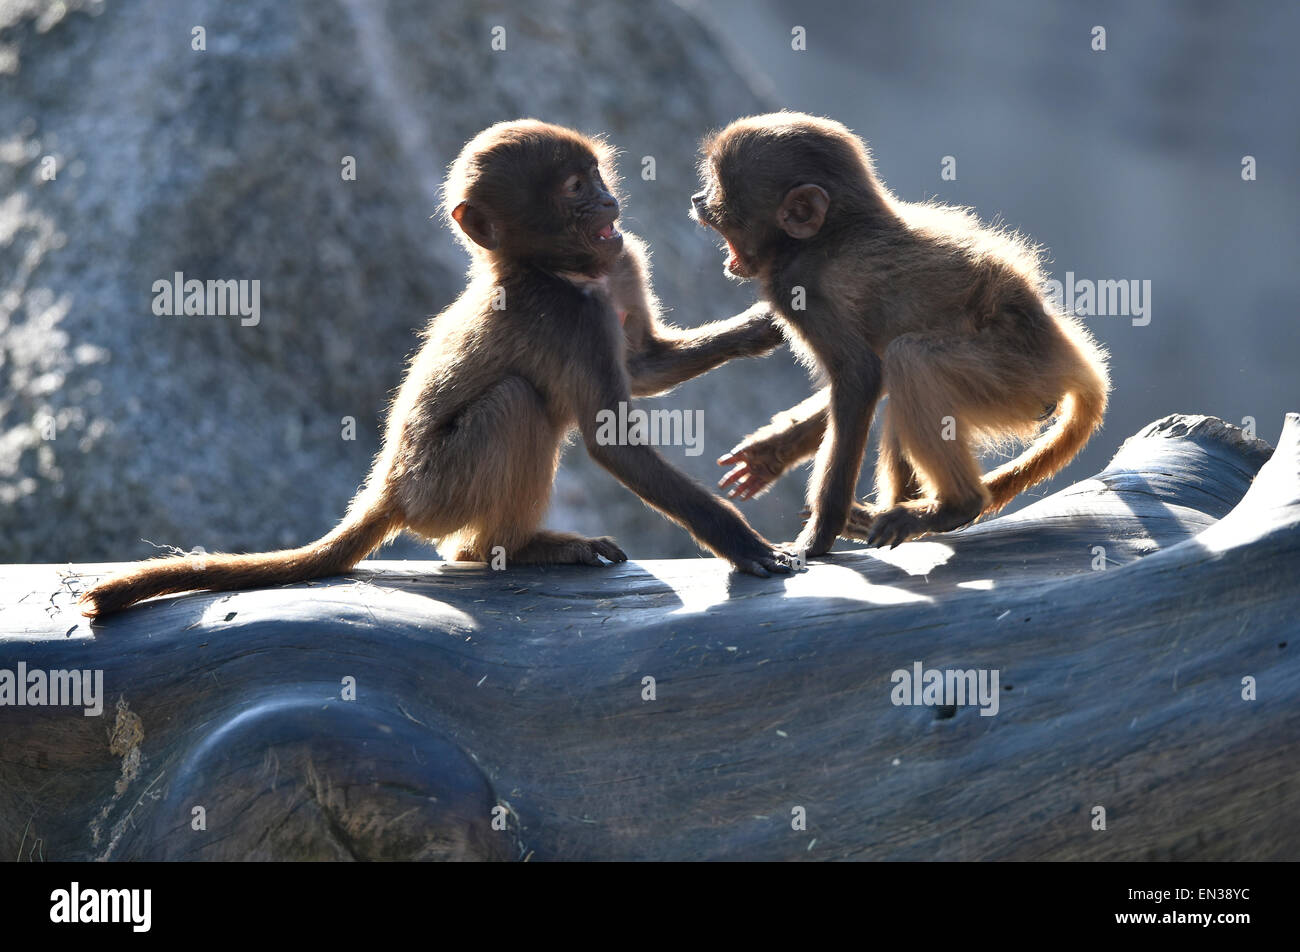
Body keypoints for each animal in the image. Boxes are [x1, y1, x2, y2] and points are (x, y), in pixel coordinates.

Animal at [86, 119, 790, 616]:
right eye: (575, 190)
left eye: (596, 176)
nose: (610, 205)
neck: (556, 271)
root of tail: (391, 488)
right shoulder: (570, 316)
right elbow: (612, 441)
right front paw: (744, 545)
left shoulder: (621, 262)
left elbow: (642, 365)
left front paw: (761, 329)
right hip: (441, 489)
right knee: (517, 406)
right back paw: (506, 548)